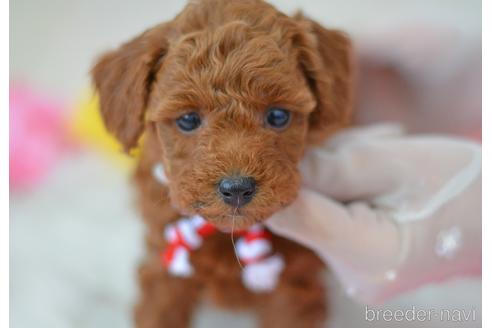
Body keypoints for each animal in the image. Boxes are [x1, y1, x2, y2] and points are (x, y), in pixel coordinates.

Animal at [92, 0, 352, 326]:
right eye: (188, 120)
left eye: (278, 116)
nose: (237, 188)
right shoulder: (164, 265)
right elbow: (159, 309)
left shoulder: (293, 283)